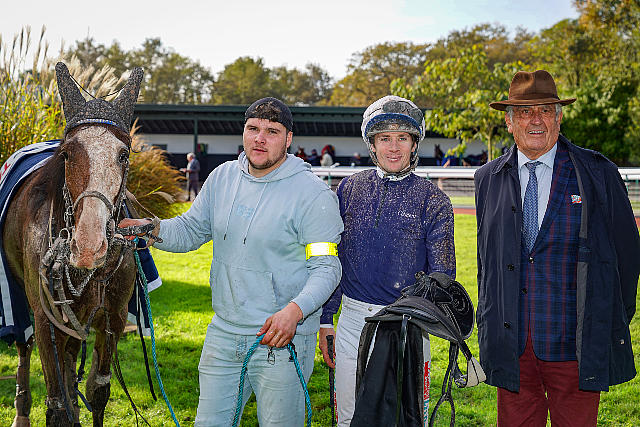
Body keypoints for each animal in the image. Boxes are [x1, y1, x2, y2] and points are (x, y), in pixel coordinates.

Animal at [2, 63, 144, 427]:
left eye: (124, 155)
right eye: (66, 154)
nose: (89, 245)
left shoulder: (114, 317)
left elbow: (98, 391)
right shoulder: (45, 320)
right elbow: (56, 407)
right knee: (25, 350)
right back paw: (21, 411)